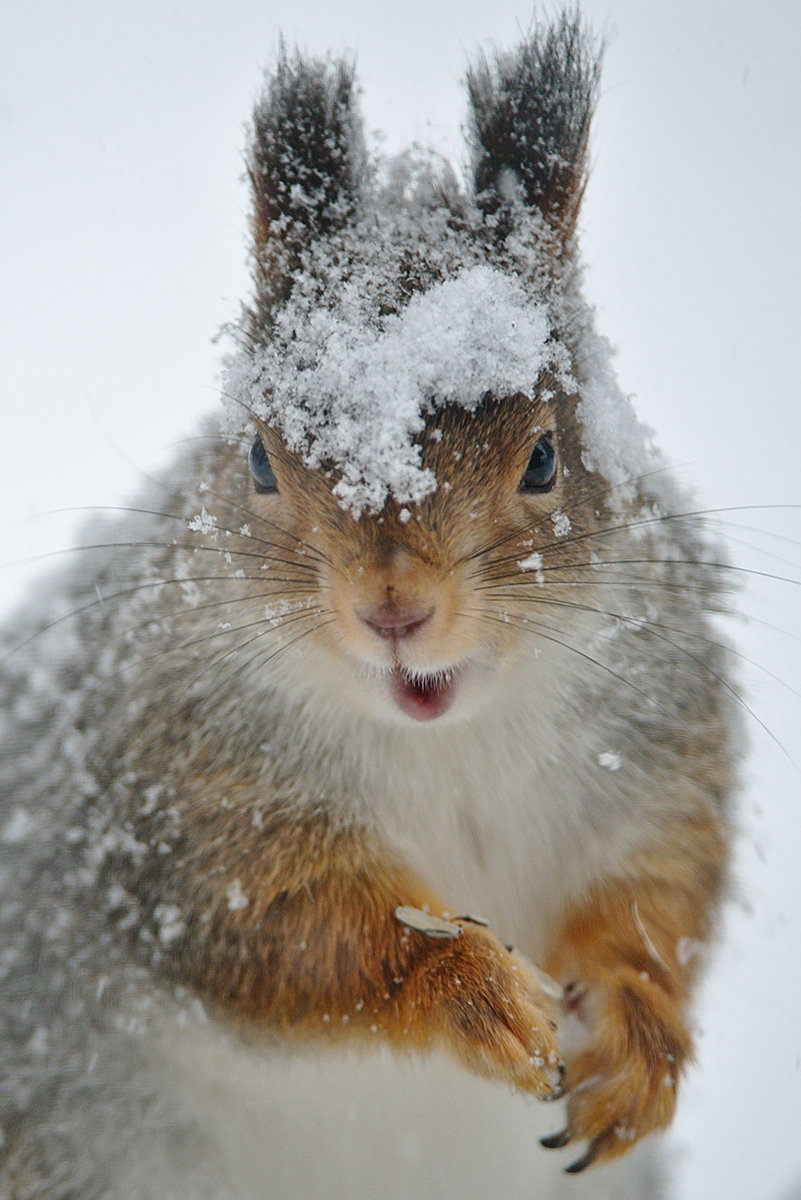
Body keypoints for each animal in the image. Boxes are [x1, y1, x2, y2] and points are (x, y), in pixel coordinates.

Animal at [0, 14, 737, 1200]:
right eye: (258, 458)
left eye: (544, 458)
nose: (394, 607)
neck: (446, 741)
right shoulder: (178, 793)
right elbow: (291, 934)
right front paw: (471, 990)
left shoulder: (660, 738)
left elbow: (664, 891)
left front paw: (634, 1039)